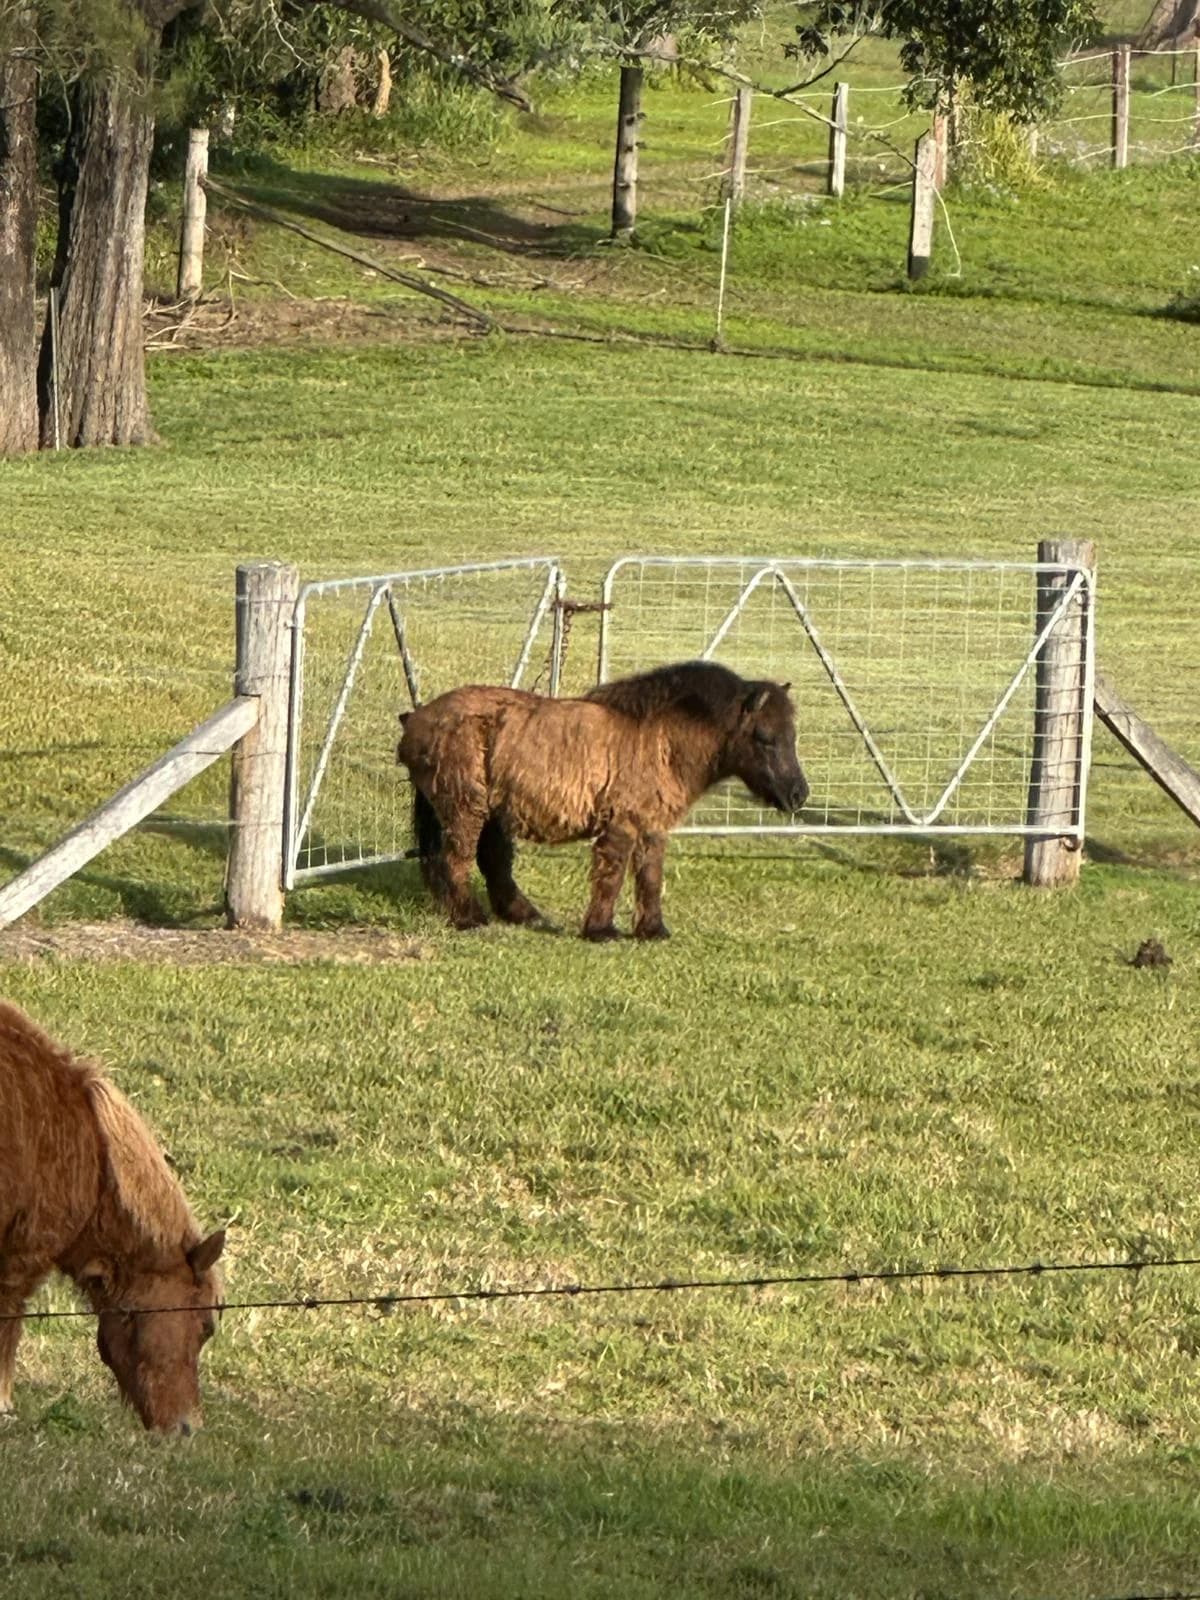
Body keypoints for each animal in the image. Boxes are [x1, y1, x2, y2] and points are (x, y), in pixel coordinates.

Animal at [396, 660, 809, 940]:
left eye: (792, 736)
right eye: (765, 737)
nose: (799, 794)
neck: (659, 740)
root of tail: (416, 719)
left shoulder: (652, 827)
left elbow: (650, 877)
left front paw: (652, 930)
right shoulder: (621, 825)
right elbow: (611, 876)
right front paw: (601, 930)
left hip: (493, 813)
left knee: (493, 863)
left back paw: (523, 915)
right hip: (466, 808)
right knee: (456, 860)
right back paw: (468, 918)